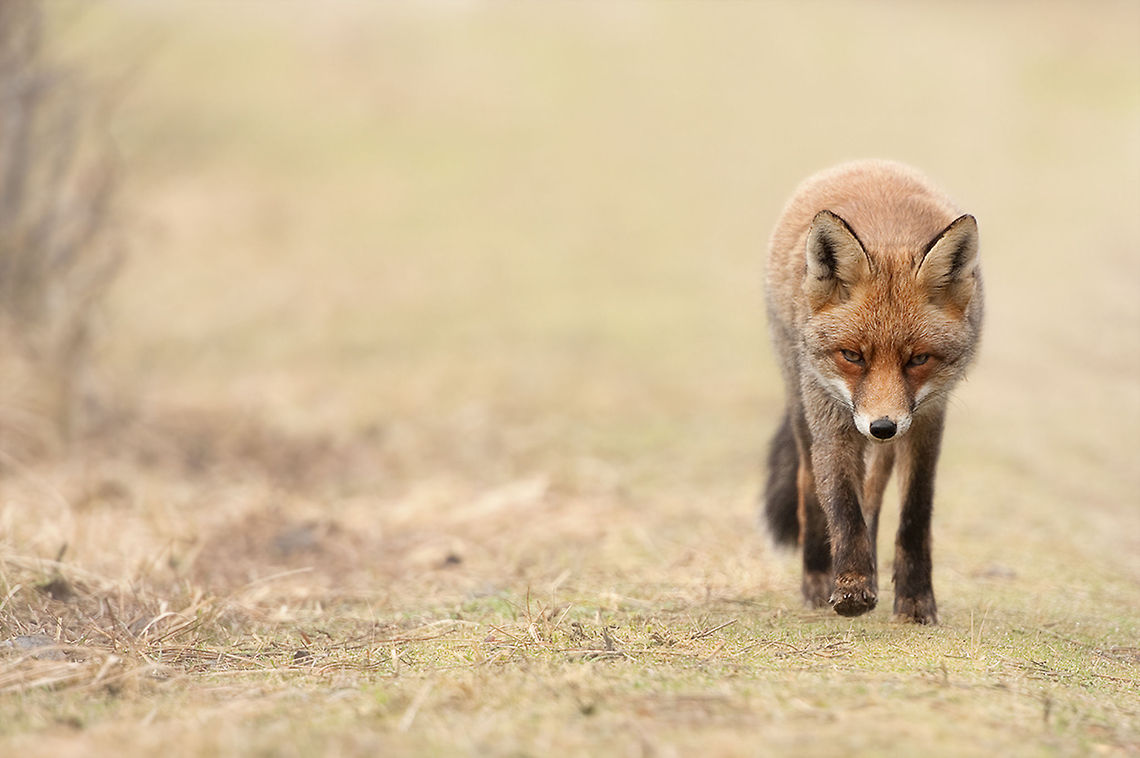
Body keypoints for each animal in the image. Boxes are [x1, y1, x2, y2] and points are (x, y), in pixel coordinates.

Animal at [763, 160, 983, 624]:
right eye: (852, 355)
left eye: (918, 359)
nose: (882, 426)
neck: (889, 235)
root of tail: (867, 163)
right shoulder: (830, 416)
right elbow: (843, 508)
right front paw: (851, 587)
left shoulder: (927, 418)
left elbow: (914, 513)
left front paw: (915, 600)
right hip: (802, 403)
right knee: (810, 484)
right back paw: (817, 577)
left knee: (875, 491)